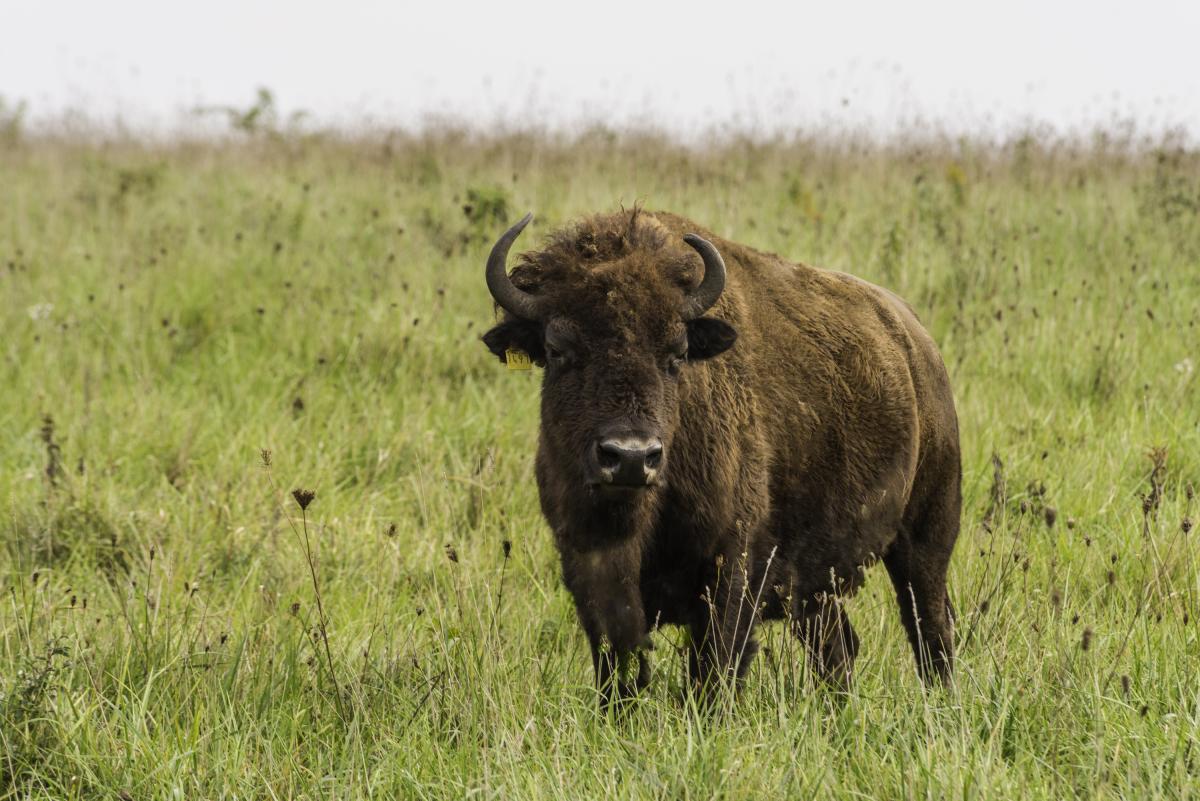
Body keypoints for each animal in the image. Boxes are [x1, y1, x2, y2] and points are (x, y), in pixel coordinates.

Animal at [482, 209, 960, 703]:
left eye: (676, 353)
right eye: (557, 349)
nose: (631, 457)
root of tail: (915, 339)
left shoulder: (733, 570)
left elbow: (716, 670)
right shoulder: (589, 569)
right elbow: (619, 668)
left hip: (926, 534)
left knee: (931, 628)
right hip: (817, 583)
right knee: (838, 644)